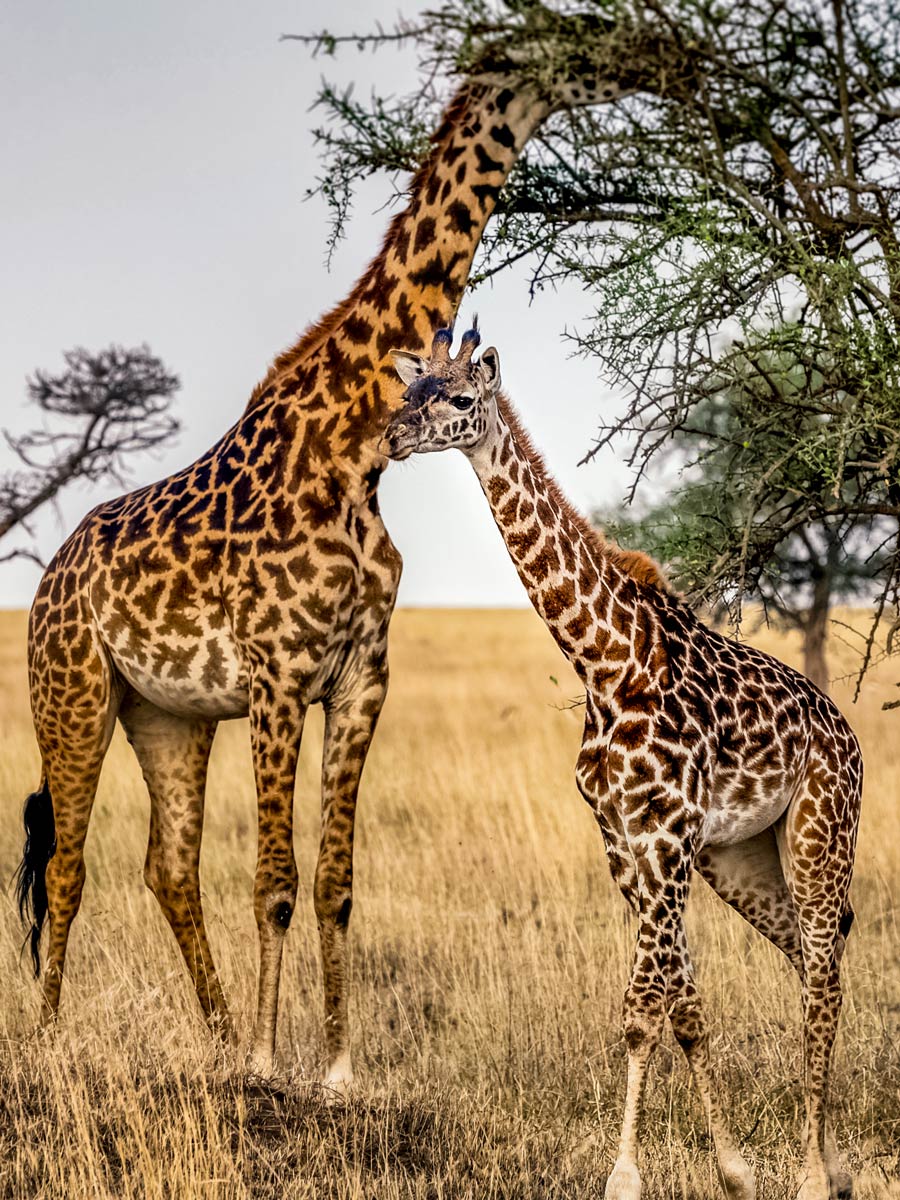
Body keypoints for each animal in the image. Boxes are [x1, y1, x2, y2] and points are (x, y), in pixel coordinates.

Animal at [15, 11, 676, 1089]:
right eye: (578, 43)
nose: (665, 60)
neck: (353, 451)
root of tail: (48, 583)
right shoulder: (281, 674)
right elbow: (275, 879)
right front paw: (270, 1063)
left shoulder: (363, 673)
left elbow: (335, 881)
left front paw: (331, 1066)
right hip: (72, 691)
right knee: (68, 862)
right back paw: (50, 1039)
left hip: (168, 716)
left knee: (167, 863)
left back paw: (215, 1031)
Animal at [384, 328, 864, 1200]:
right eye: (410, 392)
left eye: (461, 398)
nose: (395, 437)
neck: (602, 659)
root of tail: (849, 736)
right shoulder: (623, 838)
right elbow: (682, 1007)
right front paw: (733, 1169)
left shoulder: (668, 832)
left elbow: (645, 1008)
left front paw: (627, 1177)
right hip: (739, 857)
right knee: (813, 959)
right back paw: (835, 1162)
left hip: (820, 831)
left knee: (821, 965)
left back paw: (816, 1175)